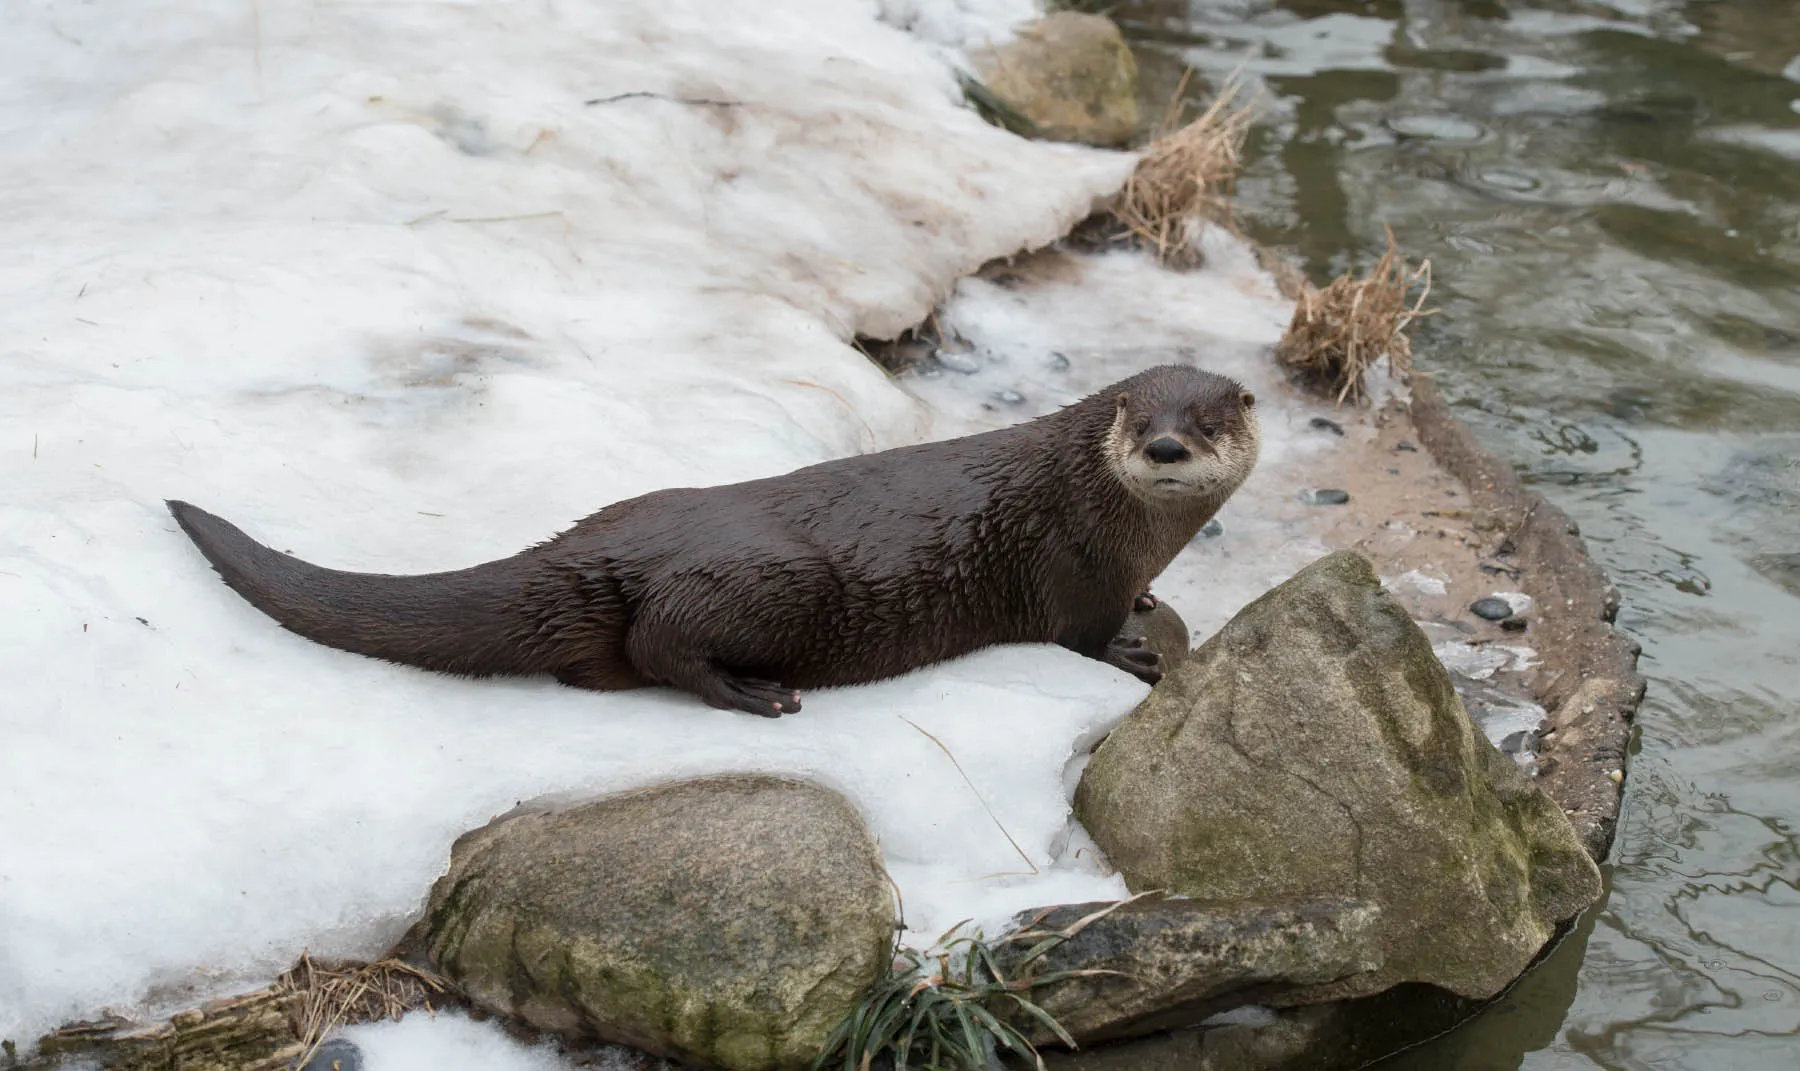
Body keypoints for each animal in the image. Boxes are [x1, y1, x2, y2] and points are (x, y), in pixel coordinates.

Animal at [168, 364, 1259, 716]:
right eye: (1140, 418)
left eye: (1209, 421)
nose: (1165, 445)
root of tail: (592, 545)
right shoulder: (1070, 557)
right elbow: (1078, 634)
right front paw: (1132, 650)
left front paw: (1151, 606)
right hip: (774, 578)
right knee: (664, 644)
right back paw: (754, 692)